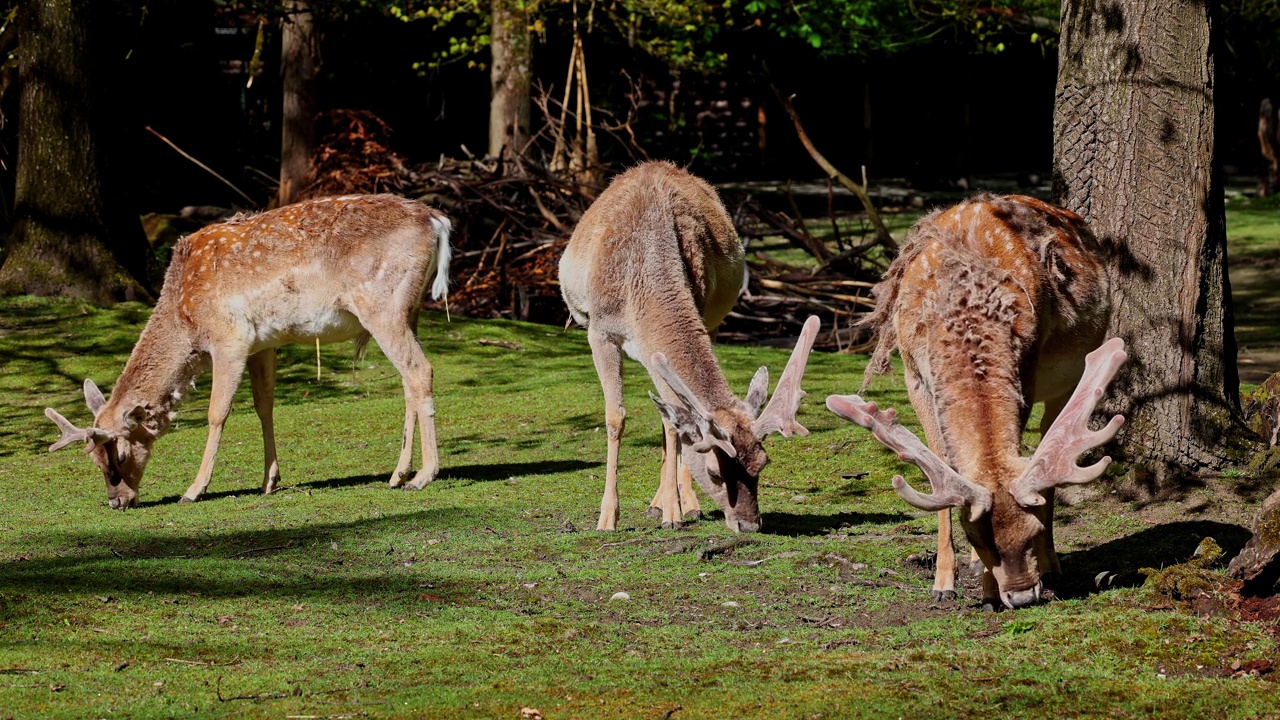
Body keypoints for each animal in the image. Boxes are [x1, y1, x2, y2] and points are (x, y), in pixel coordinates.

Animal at [46, 193, 455, 507]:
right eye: (93, 458)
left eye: (119, 453)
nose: (117, 502)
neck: (185, 318)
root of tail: (437, 221)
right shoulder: (264, 344)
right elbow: (264, 405)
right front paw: (269, 481)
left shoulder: (230, 338)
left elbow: (217, 413)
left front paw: (194, 489)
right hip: (409, 311)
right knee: (408, 379)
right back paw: (398, 474)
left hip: (383, 306)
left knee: (421, 370)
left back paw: (423, 476)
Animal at [560, 162, 819, 532]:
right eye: (714, 472)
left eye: (763, 462)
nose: (750, 525)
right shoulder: (600, 331)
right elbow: (615, 417)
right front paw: (607, 517)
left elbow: (672, 424)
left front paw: (675, 511)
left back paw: (678, 505)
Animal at [824, 194, 1126, 604]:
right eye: (979, 538)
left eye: (1030, 532)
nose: (1022, 595)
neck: (968, 310)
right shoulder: (914, 374)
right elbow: (941, 463)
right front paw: (943, 583)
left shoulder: (1026, 367)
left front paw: (988, 587)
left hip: (1068, 379)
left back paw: (1053, 565)